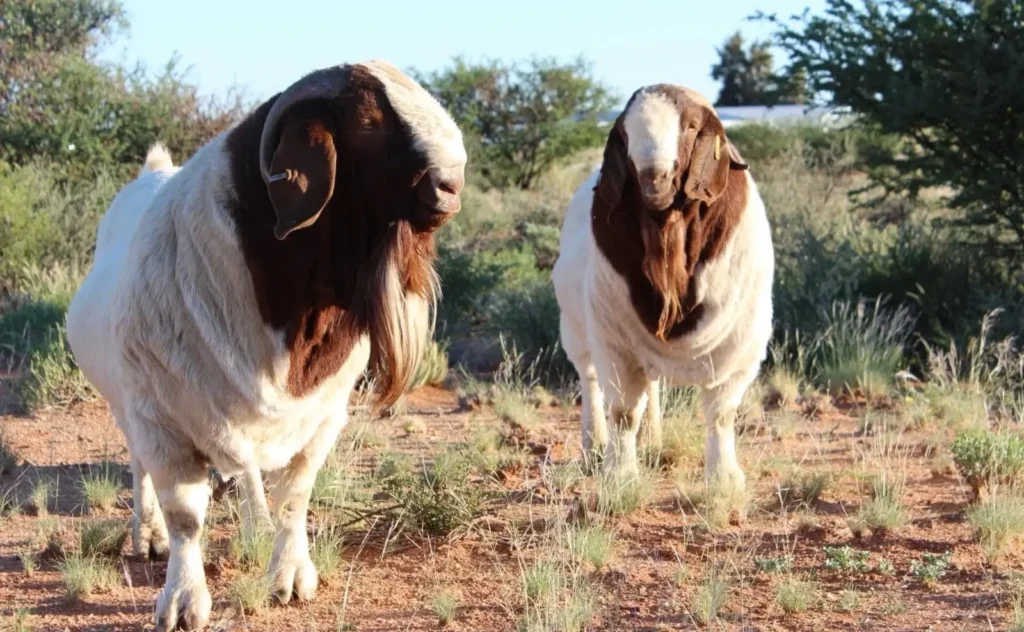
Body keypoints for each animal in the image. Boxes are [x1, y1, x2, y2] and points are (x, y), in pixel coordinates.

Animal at [66, 60, 466, 631]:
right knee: (142, 471)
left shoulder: (323, 417)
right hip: (127, 405)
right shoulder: (162, 418)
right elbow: (187, 515)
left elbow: (293, 497)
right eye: (368, 120)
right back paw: (148, 537)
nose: (452, 185)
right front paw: (183, 600)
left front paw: (290, 577)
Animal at [552, 84, 774, 509]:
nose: (654, 178)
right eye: (624, 133)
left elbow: (721, 414)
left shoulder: (739, 347)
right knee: (591, 383)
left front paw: (724, 480)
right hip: (577, 330)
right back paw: (594, 446)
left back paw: (652, 442)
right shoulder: (616, 343)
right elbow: (623, 412)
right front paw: (620, 475)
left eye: (690, 126)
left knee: (652, 388)